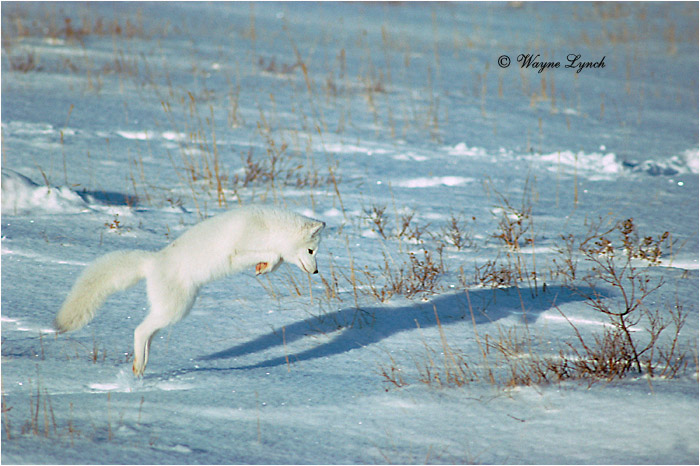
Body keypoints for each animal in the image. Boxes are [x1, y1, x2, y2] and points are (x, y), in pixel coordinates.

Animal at [54, 205, 325, 377]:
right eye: (311, 251)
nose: (315, 272)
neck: (270, 227)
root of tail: (152, 262)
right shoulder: (238, 251)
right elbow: (273, 254)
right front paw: (266, 263)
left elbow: (276, 259)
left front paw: (264, 268)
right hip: (175, 310)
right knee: (139, 330)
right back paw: (138, 367)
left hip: (173, 311)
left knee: (146, 333)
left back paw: (141, 366)